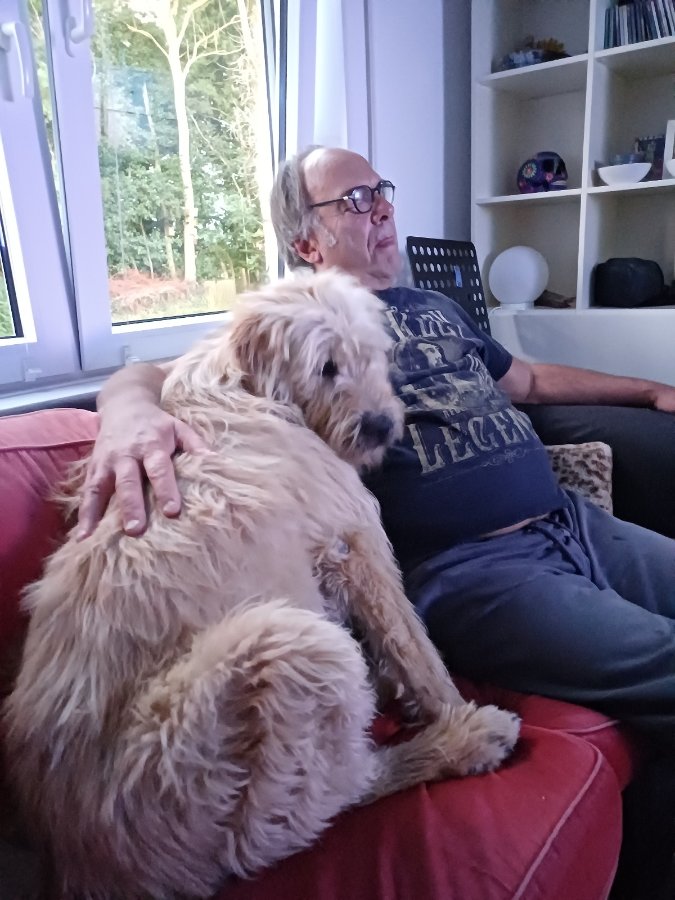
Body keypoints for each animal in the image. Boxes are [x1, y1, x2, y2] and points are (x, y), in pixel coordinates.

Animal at [4, 270, 520, 899]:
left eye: (371, 354)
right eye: (326, 366)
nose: (380, 427)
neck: (256, 389)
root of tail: (80, 861)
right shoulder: (355, 542)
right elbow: (414, 645)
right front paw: (447, 703)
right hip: (289, 647)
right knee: (308, 811)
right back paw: (461, 740)